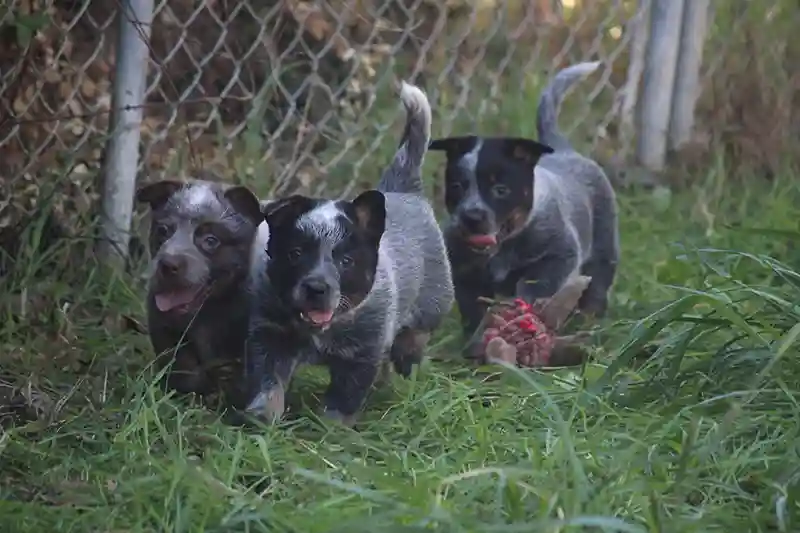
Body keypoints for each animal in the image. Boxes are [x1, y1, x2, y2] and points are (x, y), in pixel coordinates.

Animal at [134, 176, 266, 404]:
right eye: (163, 231)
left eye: (211, 240)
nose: (168, 264)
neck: (208, 310)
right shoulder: (164, 327)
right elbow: (181, 367)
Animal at [244, 81, 456, 426]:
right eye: (295, 254)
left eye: (346, 261)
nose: (317, 288)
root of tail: (404, 190)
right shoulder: (269, 335)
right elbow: (268, 382)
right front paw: (262, 418)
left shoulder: (362, 353)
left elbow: (345, 396)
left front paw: (331, 428)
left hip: (427, 312)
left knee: (408, 349)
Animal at [428, 62, 620, 342]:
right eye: (456, 187)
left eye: (501, 190)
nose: (471, 217)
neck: (504, 247)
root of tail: (565, 150)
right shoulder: (465, 273)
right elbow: (474, 311)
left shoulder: (559, 253)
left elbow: (533, 286)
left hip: (603, 249)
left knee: (597, 287)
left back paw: (589, 325)